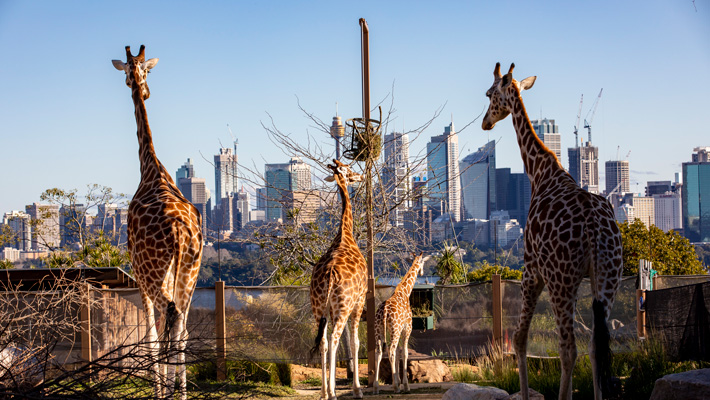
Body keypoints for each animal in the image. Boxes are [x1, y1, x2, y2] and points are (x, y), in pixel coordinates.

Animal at [111, 45, 204, 398]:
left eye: (139, 70)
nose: (144, 90)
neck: (150, 167)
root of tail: (180, 231)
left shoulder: (138, 275)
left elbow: (150, 337)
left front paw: (158, 390)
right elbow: (170, 335)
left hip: (154, 275)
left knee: (170, 318)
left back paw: (168, 391)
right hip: (190, 272)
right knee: (182, 328)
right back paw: (182, 393)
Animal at [376, 253, 426, 394]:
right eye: (423, 263)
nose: (422, 272)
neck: (405, 292)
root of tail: (385, 311)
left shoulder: (397, 330)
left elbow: (399, 352)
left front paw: (397, 381)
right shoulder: (407, 328)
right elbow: (404, 353)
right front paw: (405, 385)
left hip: (380, 329)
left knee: (379, 352)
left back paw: (376, 387)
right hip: (395, 329)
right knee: (391, 351)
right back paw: (396, 388)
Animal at [484, 62, 624, 400]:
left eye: (489, 94)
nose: (485, 122)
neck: (540, 173)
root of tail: (594, 229)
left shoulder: (531, 268)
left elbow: (520, 338)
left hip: (561, 281)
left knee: (569, 349)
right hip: (607, 278)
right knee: (595, 346)